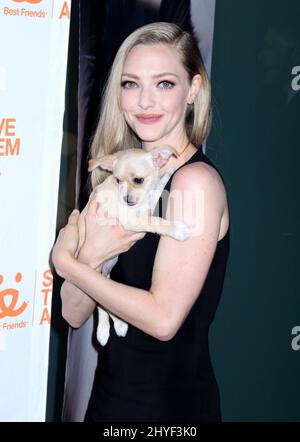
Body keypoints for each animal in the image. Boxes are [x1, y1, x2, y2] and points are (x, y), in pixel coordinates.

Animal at [77, 145, 190, 346]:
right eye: (118, 180)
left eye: (138, 180)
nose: (127, 199)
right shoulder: (134, 220)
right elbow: (156, 222)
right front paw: (177, 230)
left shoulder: (147, 204)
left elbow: (158, 188)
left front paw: (169, 171)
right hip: (94, 275)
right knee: (100, 301)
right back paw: (104, 330)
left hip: (106, 272)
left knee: (107, 298)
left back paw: (118, 324)